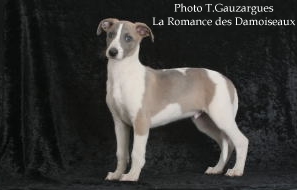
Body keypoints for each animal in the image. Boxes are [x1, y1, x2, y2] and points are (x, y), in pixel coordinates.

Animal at [96, 18, 247, 182]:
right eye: (110, 34)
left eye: (128, 38)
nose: (112, 52)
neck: (122, 74)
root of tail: (227, 80)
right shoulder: (119, 123)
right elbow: (121, 153)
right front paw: (117, 174)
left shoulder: (141, 122)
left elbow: (136, 153)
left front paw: (132, 175)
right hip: (205, 122)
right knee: (226, 143)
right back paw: (217, 169)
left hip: (221, 117)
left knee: (241, 141)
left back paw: (237, 170)